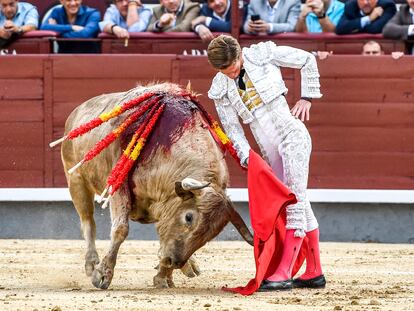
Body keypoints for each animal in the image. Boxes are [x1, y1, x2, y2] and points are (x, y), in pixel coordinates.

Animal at [58, 83, 252, 290]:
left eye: (211, 234)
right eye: (189, 217)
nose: (174, 261)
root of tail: (76, 112)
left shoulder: (166, 207)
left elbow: (164, 235)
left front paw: (163, 276)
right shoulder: (119, 186)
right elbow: (120, 229)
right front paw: (102, 275)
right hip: (76, 181)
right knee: (88, 222)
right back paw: (91, 263)